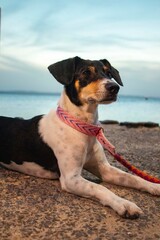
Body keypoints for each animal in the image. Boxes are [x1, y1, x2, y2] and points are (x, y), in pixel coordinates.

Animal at [0, 56, 159, 219]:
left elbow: (133, 177)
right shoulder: (71, 178)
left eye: (109, 73)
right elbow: (100, 188)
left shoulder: (104, 169)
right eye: (86, 72)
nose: (114, 87)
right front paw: (124, 204)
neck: (83, 127)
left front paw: (154, 186)